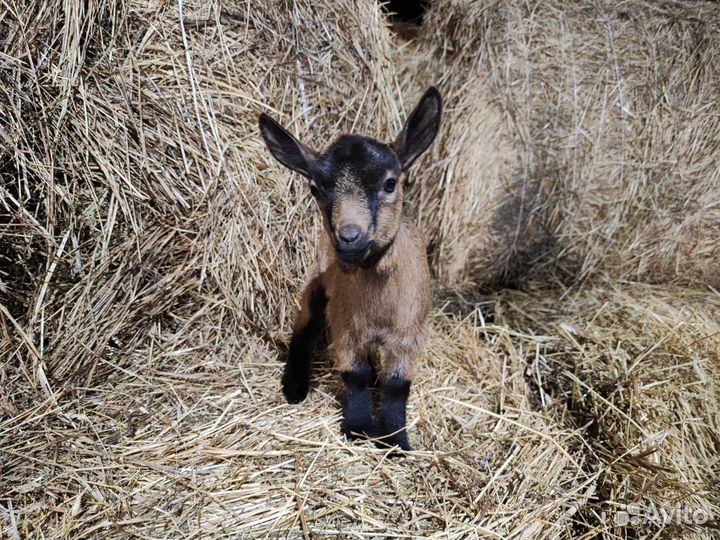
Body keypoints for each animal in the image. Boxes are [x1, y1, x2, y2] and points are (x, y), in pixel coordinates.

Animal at [258, 88, 441, 451]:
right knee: (304, 325)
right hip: (316, 283)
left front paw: (395, 440)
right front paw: (358, 429)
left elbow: (397, 386)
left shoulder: (410, 334)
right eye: (315, 188)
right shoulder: (344, 326)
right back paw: (294, 386)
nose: (350, 237)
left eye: (390, 183)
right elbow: (353, 376)